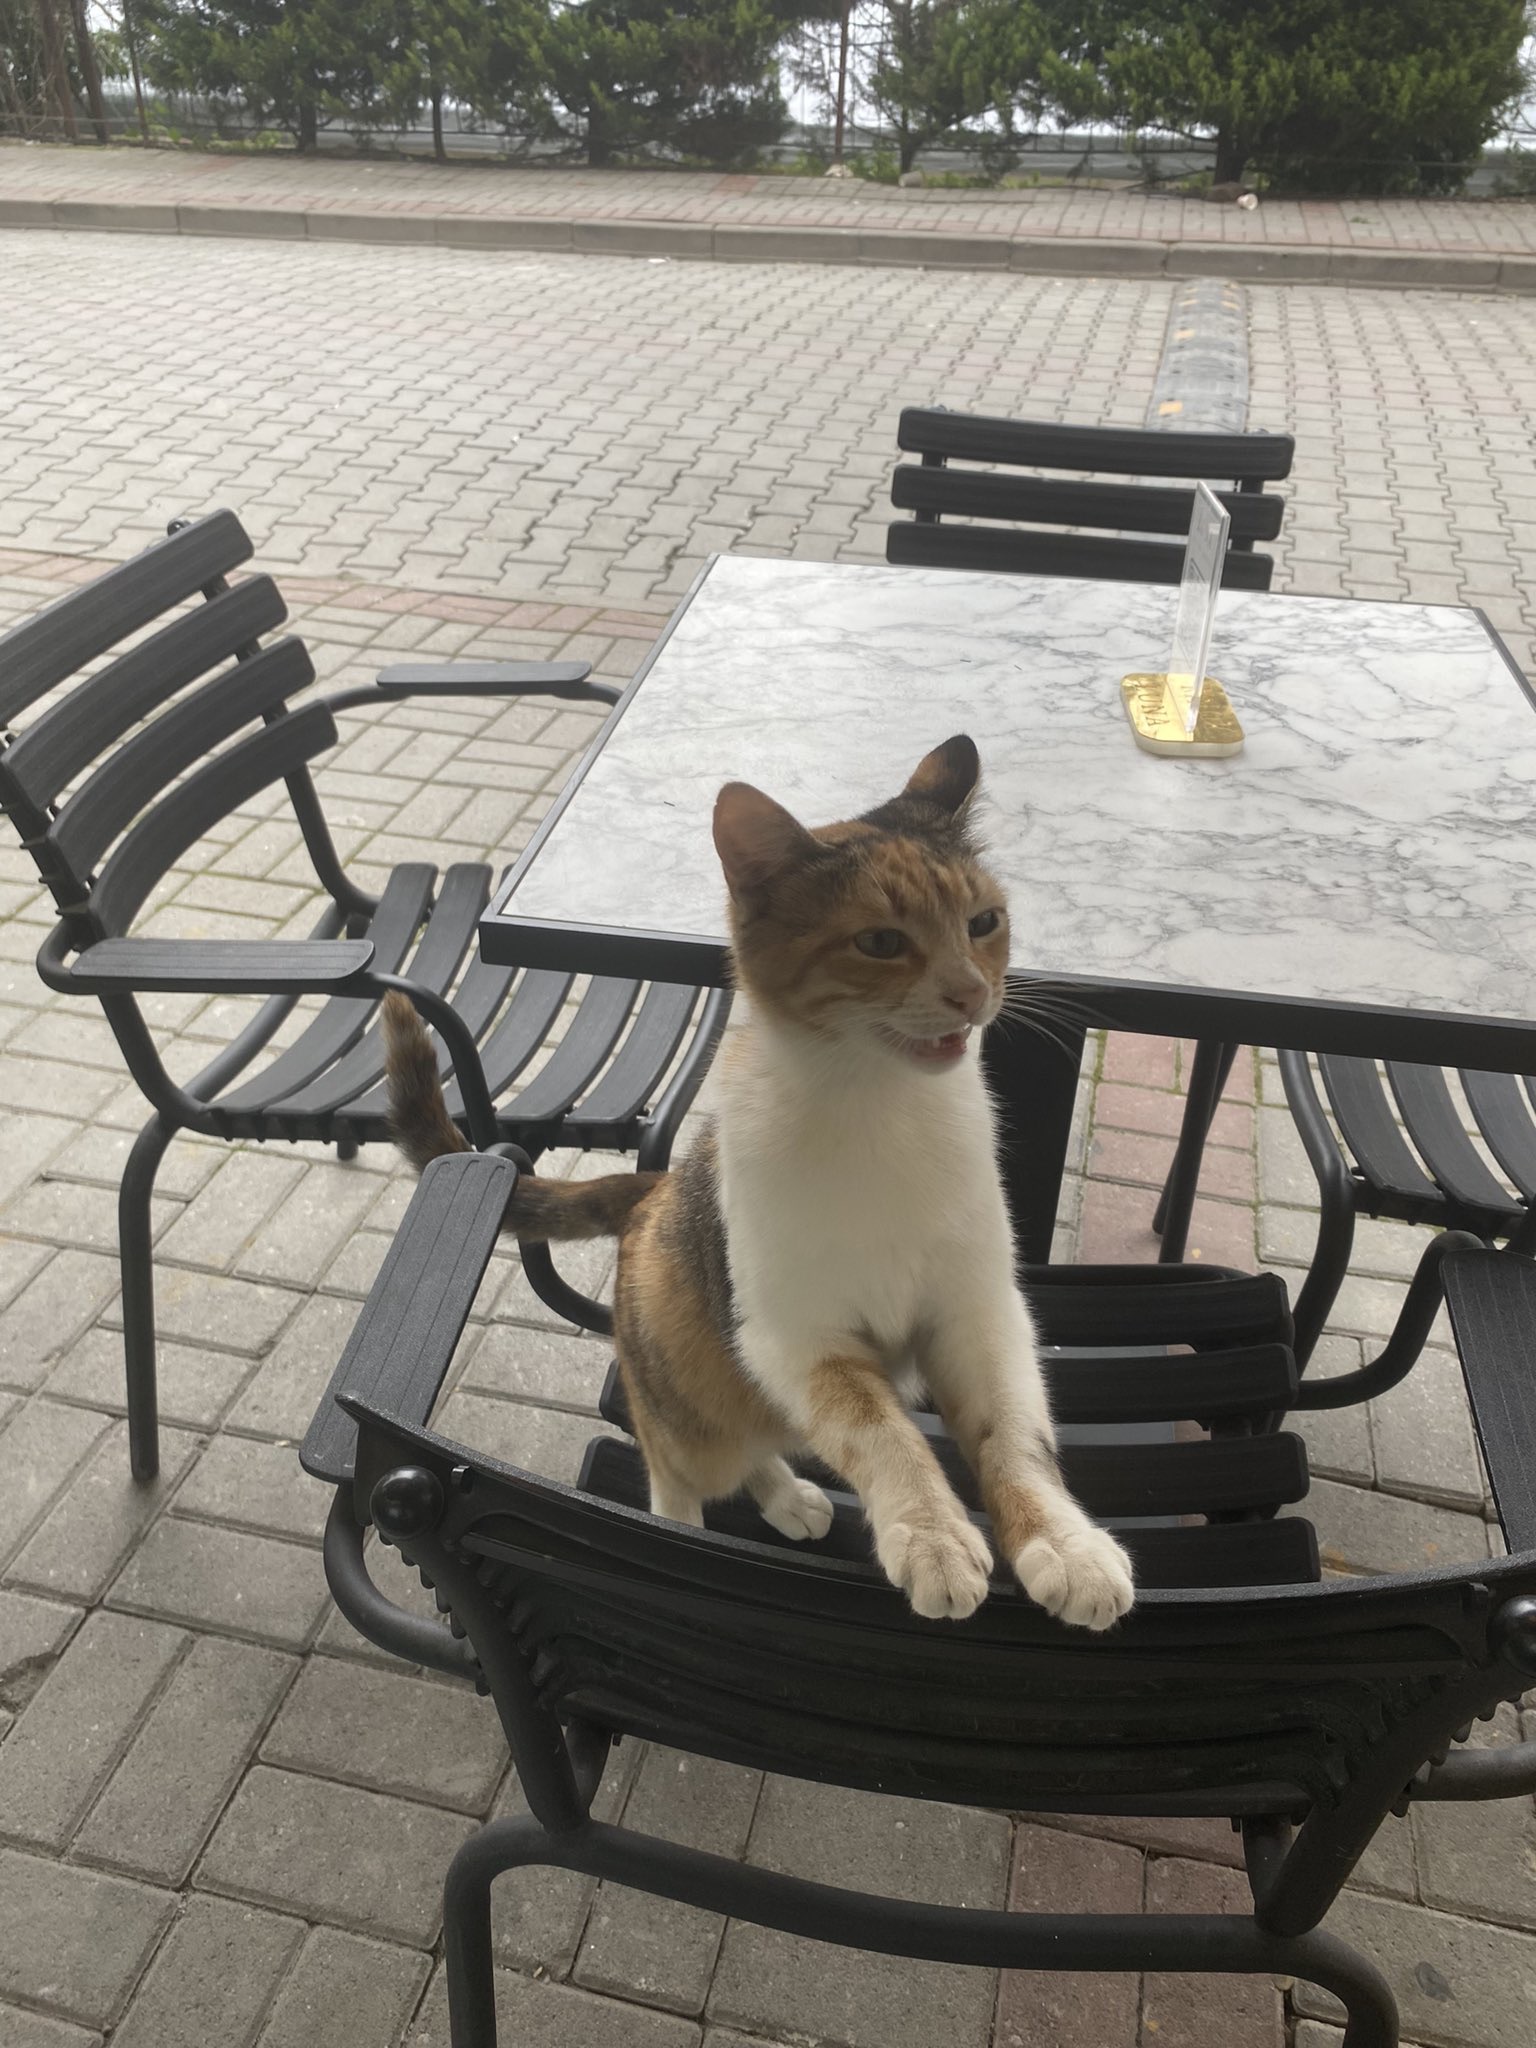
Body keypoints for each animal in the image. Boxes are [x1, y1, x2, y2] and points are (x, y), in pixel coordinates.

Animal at [382, 733, 1134, 1630]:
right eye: (881, 943)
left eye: (984, 923)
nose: (971, 992)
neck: (882, 1108)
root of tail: (656, 1190)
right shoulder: (796, 1338)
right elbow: (881, 1433)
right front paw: (931, 1534)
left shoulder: (977, 1316)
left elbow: (1014, 1437)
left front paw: (1063, 1543)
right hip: (690, 1386)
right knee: (681, 1464)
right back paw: (693, 1522)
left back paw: (786, 1495)